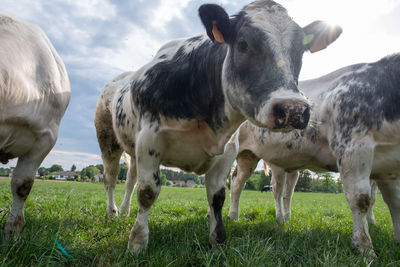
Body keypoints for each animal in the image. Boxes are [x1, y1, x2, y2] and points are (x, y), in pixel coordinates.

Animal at [94, 0, 340, 253]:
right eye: (242, 44)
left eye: (301, 50)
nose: (293, 109)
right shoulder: (149, 141)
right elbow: (148, 192)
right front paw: (137, 242)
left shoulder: (227, 151)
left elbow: (217, 196)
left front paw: (218, 239)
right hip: (107, 140)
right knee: (111, 178)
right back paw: (112, 211)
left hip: (133, 150)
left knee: (130, 180)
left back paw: (125, 210)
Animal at [228, 54, 400, 258]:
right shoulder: (353, 148)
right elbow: (361, 200)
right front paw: (365, 248)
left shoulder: (388, 166)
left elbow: (395, 202)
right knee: (241, 184)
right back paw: (234, 216)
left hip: (254, 158)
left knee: (267, 188)